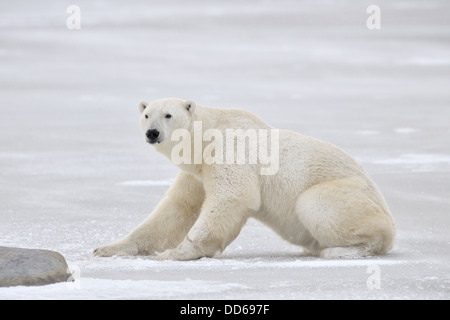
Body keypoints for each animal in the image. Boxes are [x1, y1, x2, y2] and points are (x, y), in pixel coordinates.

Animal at [93, 97, 396, 260]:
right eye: (146, 114)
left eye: (168, 114)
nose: (152, 133)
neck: (206, 136)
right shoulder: (197, 172)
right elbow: (178, 209)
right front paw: (106, 248)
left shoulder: (230, 149)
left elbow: (232, 195)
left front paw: (176, 253)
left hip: (348, 195)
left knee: (316, 204)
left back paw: (340, 250)